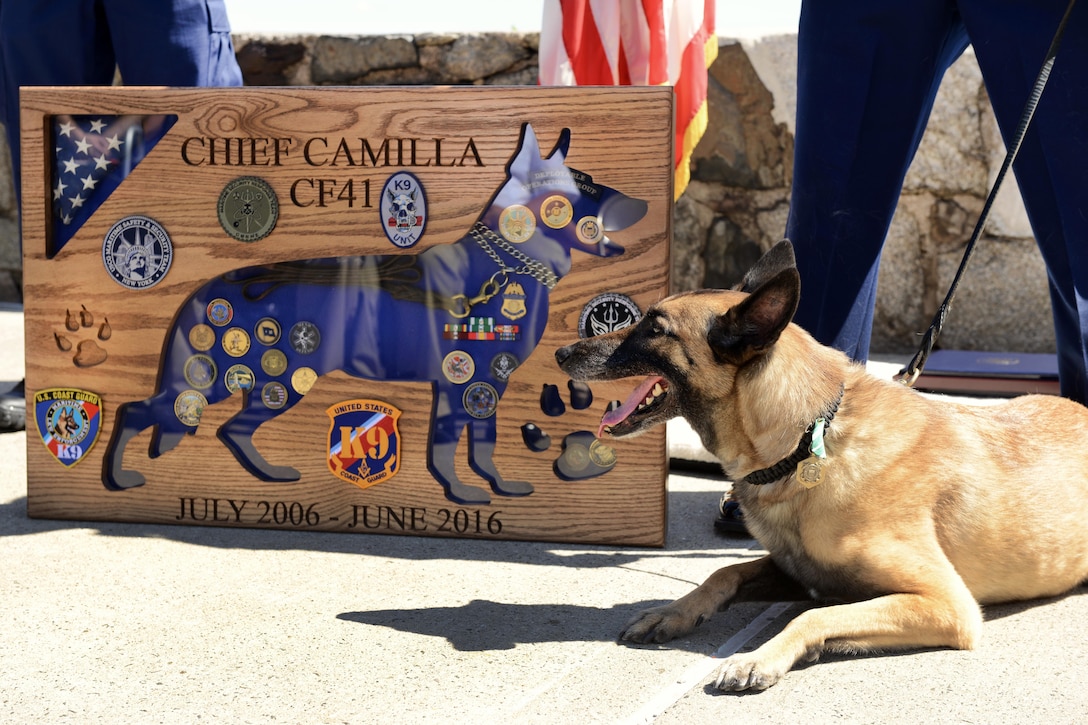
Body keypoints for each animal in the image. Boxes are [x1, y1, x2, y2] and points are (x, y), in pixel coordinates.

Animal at [557, 241, 1088, 687]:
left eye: (654, 328)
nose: (561, 351)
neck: (807, 441)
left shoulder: (947, 605)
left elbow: (811, 614)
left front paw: (760, 656)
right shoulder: (795, 570)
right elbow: (724, 573)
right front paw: (674, 611)